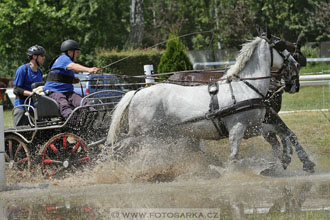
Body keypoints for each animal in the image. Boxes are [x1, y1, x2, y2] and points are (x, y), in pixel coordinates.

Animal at [107, 35, 296, 163]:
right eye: (281, 46)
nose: (295, 65)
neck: (245, 86)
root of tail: (137, 92)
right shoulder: (238, 127)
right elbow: (234, 155)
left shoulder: (252, 127)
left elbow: (279, 131)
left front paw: (285, 157)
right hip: (142, 135)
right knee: (119, 149)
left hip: (159, 135)